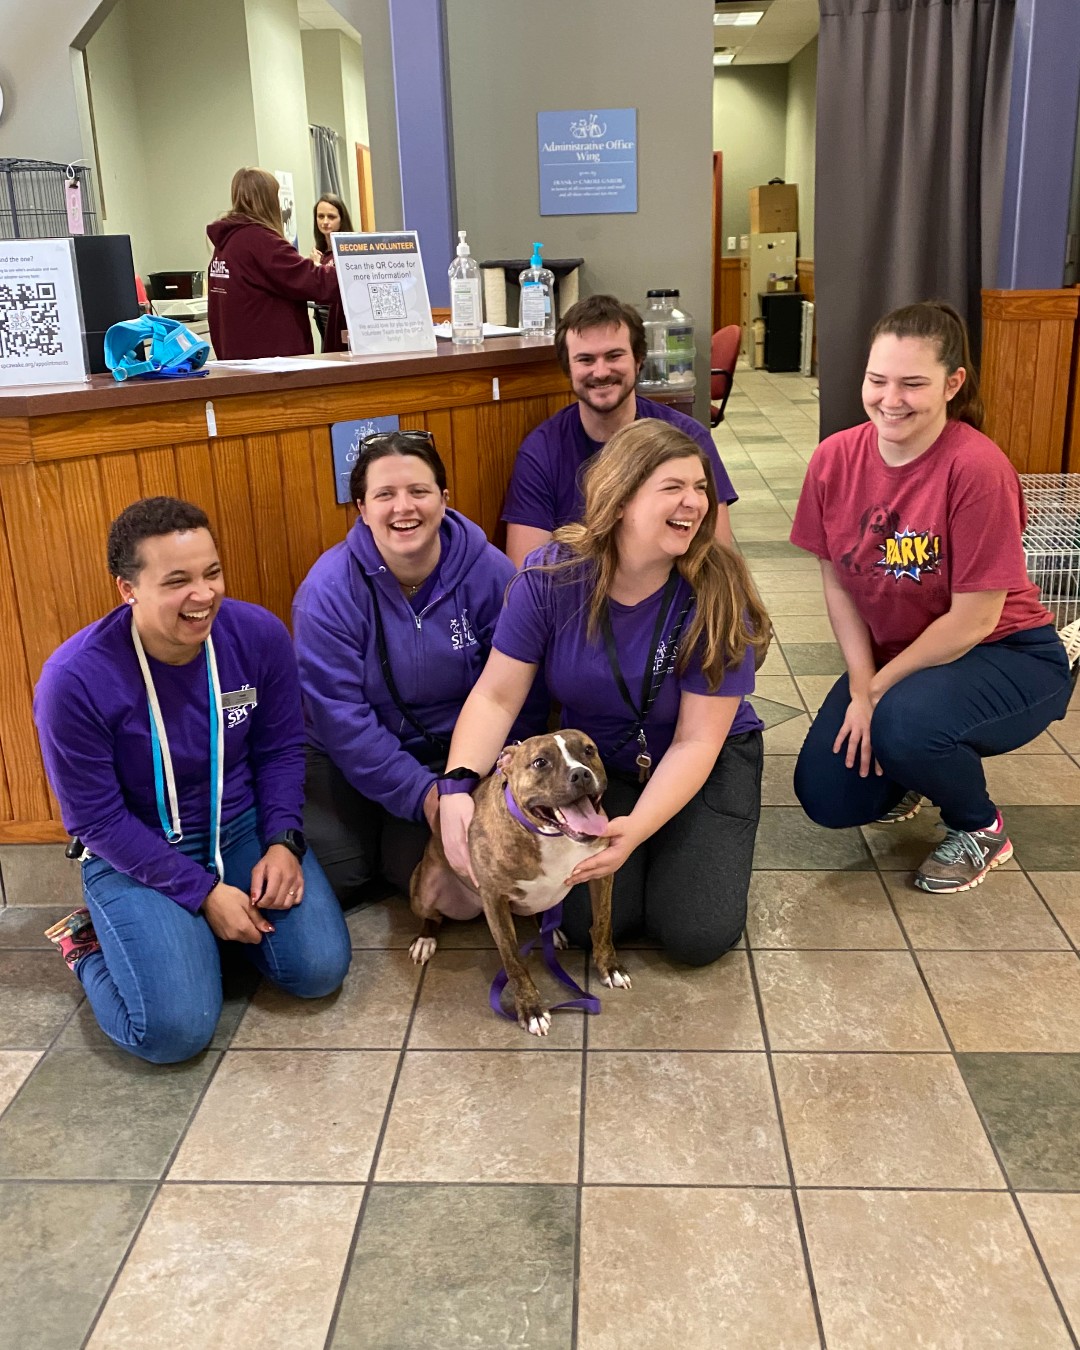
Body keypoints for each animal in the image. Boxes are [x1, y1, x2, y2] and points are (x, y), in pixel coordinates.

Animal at [410, 729, 631, 1031]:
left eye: (588, 751)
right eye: (540, 762)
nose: (581, 774)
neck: (552, 836)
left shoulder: (602, 873)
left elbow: (603, 923)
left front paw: (610, 967)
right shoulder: (494, 899)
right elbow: (513, 959)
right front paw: (531, 1008)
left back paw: (552, 932)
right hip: (424, 888)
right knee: (432, 915)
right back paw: (425, 939)